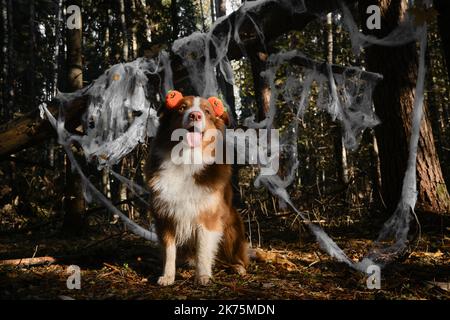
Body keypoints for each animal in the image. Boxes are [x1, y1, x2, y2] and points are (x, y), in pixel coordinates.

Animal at [146, 92, 248, 284]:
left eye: (207, 111)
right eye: (181, 108)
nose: (195, 115)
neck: (187, 158)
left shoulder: (208, 217)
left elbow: (202, 249)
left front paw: (202, 276)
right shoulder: (165, 216)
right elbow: (169, 252)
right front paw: (168, 276)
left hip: (232, 225)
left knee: (236, 256)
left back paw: (238, 267)